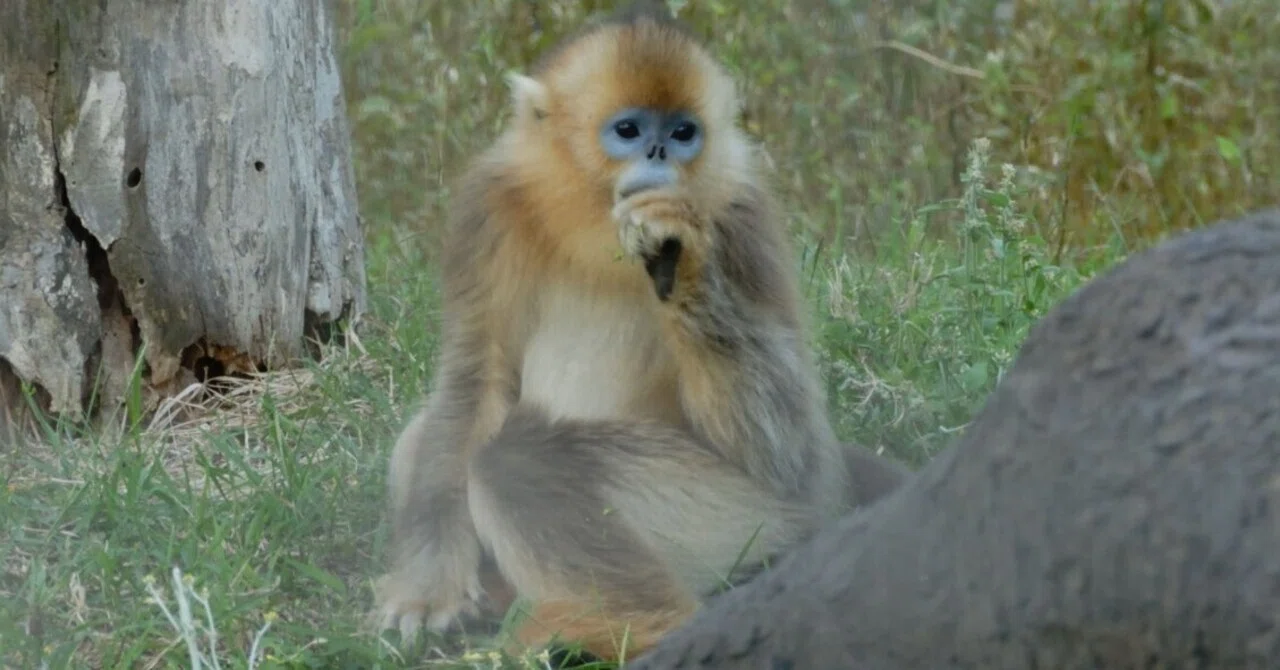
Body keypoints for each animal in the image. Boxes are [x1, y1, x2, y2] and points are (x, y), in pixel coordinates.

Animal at [370, 3, 908, 661]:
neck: (593, 226)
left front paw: (687, 257)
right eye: (628, 131)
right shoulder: (488, 208)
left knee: (517, 458)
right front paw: (427, 589)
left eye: (682, 133)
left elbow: (794, 455)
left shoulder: (741, 214)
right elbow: (475, 379)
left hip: (751, 518)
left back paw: (617, 625)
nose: (658, 154)